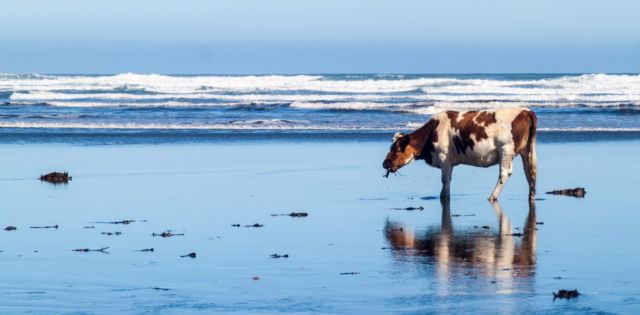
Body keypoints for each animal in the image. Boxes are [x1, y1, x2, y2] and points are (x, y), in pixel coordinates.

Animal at [382, 108, 536, 201]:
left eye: (396, 148)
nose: (385, 163)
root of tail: (525, 110)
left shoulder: (444, 157)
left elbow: (445, 180)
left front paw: (444, 197)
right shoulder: (450, 162)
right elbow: (448, 180)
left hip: (506, 149)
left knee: (504, 173)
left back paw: (492, 197)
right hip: (526, 150)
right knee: (530, 172)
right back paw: (531, 196)